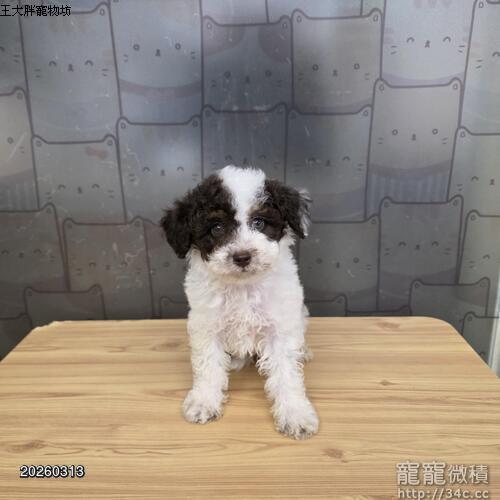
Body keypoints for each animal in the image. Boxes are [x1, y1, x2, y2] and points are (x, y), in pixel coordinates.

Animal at [160, 165, 318, 439]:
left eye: (259, 222)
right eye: (216, 228)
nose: (242, 256)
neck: (244, 288)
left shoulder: (280, 326)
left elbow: (287, 373)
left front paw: (295, 413)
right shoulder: (206, 325)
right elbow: (208, 365)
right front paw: (204, 401)